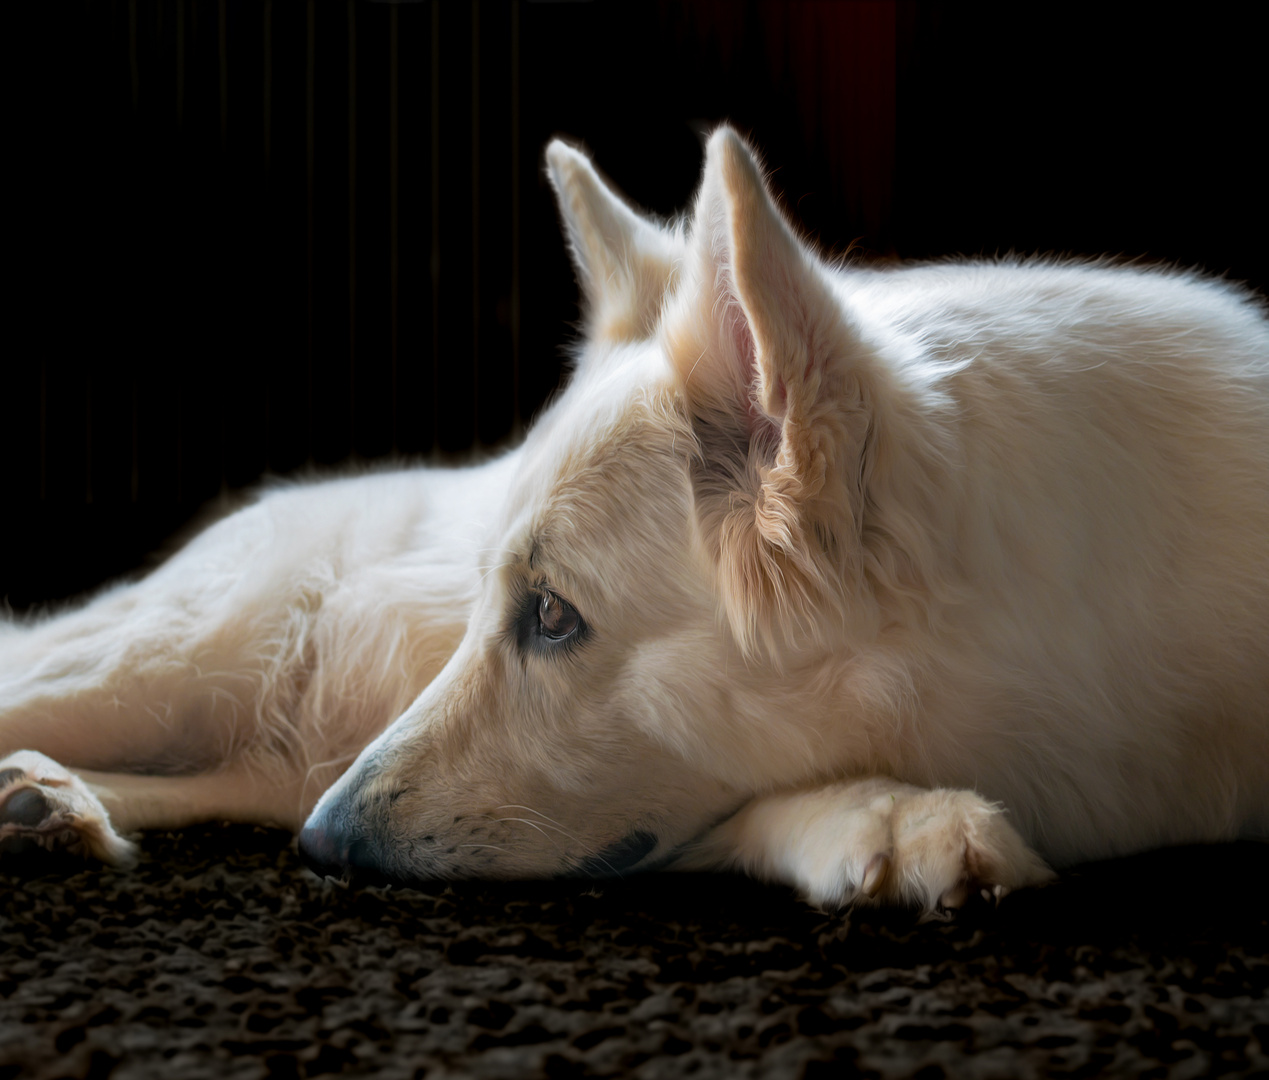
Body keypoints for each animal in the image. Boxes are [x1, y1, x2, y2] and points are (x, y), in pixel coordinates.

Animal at [2, 130, 1269, 918]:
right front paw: (893, 819)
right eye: (495, 604)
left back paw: (46, 807)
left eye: (554, 616)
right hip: (169, 667)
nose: (320, 851)